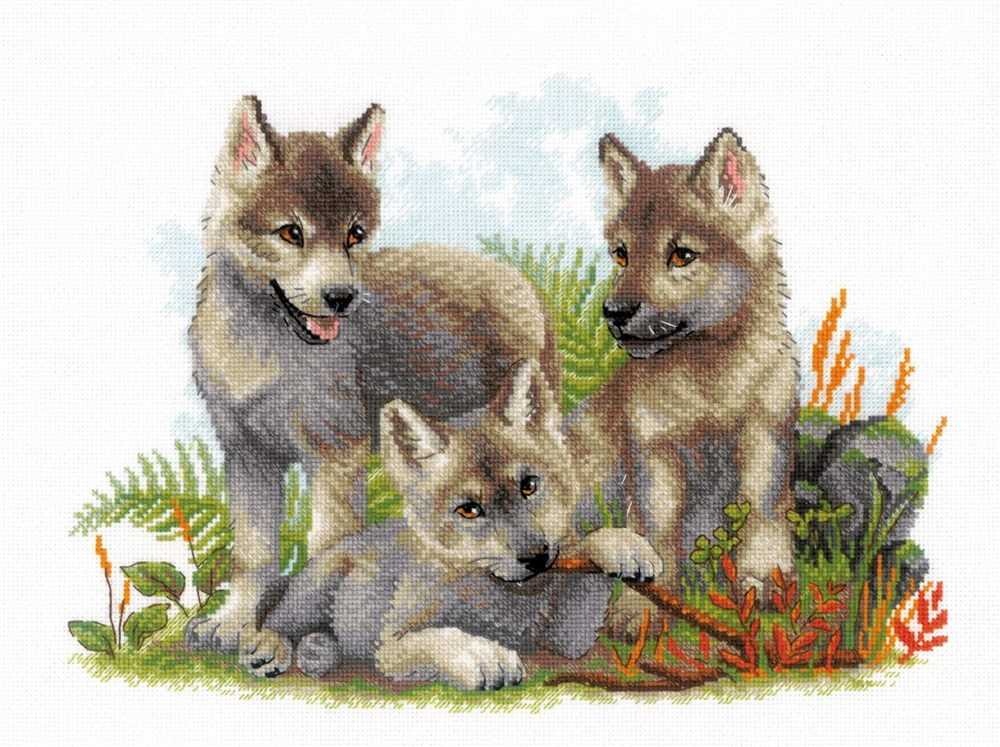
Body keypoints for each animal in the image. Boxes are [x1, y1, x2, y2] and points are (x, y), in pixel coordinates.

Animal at [188, 97, 558, 652]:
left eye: (354, 235)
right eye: (291, 232)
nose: (342, 297)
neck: (264, 358)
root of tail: (516, 276)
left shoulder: (336, 455)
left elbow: (327, 546)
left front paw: (295, 633)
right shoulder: (248, 456)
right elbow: (253, 554)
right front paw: (234, 622)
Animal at [239, 360, 663, 688]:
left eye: (529, 485)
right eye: (469, 510)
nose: (536, 557)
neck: (502, 603)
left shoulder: (566, 639)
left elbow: (589, 559)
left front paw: (624, 546)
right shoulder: (392, 644)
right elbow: (441, 638)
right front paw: (483, 657)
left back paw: (319, 650)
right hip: (319, 585)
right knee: (279, 618)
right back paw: (268, 647)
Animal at [567, 129, 799, 630]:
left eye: (681, 255)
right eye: (621, 253)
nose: (613, 312)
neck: (710, 386)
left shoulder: (765, 432)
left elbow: (763, 509)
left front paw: (765, 578)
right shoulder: (653, 453)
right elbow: (659, 529)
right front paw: (642, 607)